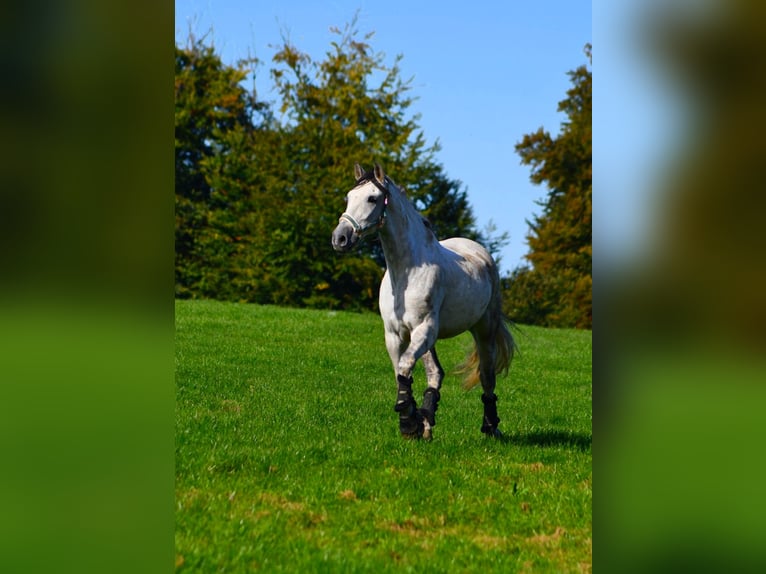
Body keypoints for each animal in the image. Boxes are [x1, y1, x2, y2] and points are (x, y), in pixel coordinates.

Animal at [330, 164, 516, 444]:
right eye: (348, 198)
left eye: (372, 198)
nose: (340, 238)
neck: (405, 274)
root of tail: (481, 253)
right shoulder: (395, 334)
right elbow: (401, 372)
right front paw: (415, 423)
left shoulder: (424, 328)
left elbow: (405, 367)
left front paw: (409, 423)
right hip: (429, 339)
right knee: (435, 373)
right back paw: (428, 423)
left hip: (483, 330)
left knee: (486, 375)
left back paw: (491, 427)